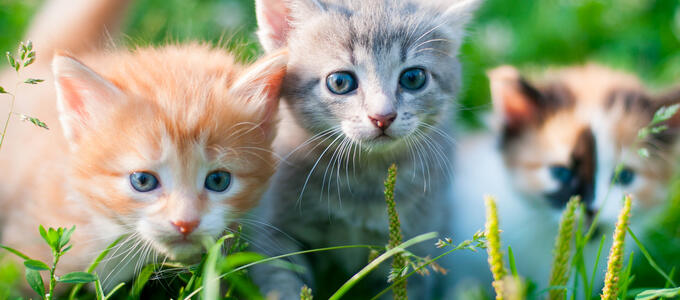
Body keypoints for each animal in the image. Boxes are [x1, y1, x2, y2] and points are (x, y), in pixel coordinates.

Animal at [252, 0, 480, 296]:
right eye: (340, 82)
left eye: (413, 78)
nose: (382, 116)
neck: (364, 183)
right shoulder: (272, 231)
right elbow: (281, 282)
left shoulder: (415, 247)